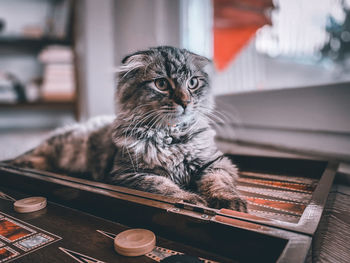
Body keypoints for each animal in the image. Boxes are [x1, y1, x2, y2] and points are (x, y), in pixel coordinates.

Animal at [10, 46, 246, 213]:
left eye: (193, 83)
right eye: (162, 84)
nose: (185, 102)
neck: (171, 137)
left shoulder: (215, 163)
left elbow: (218, 182)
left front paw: (231, 202)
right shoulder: (128, 174)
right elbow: (165, 187)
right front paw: (191, 200)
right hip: (60, 147)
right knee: (34, 155)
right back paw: (23, 163)